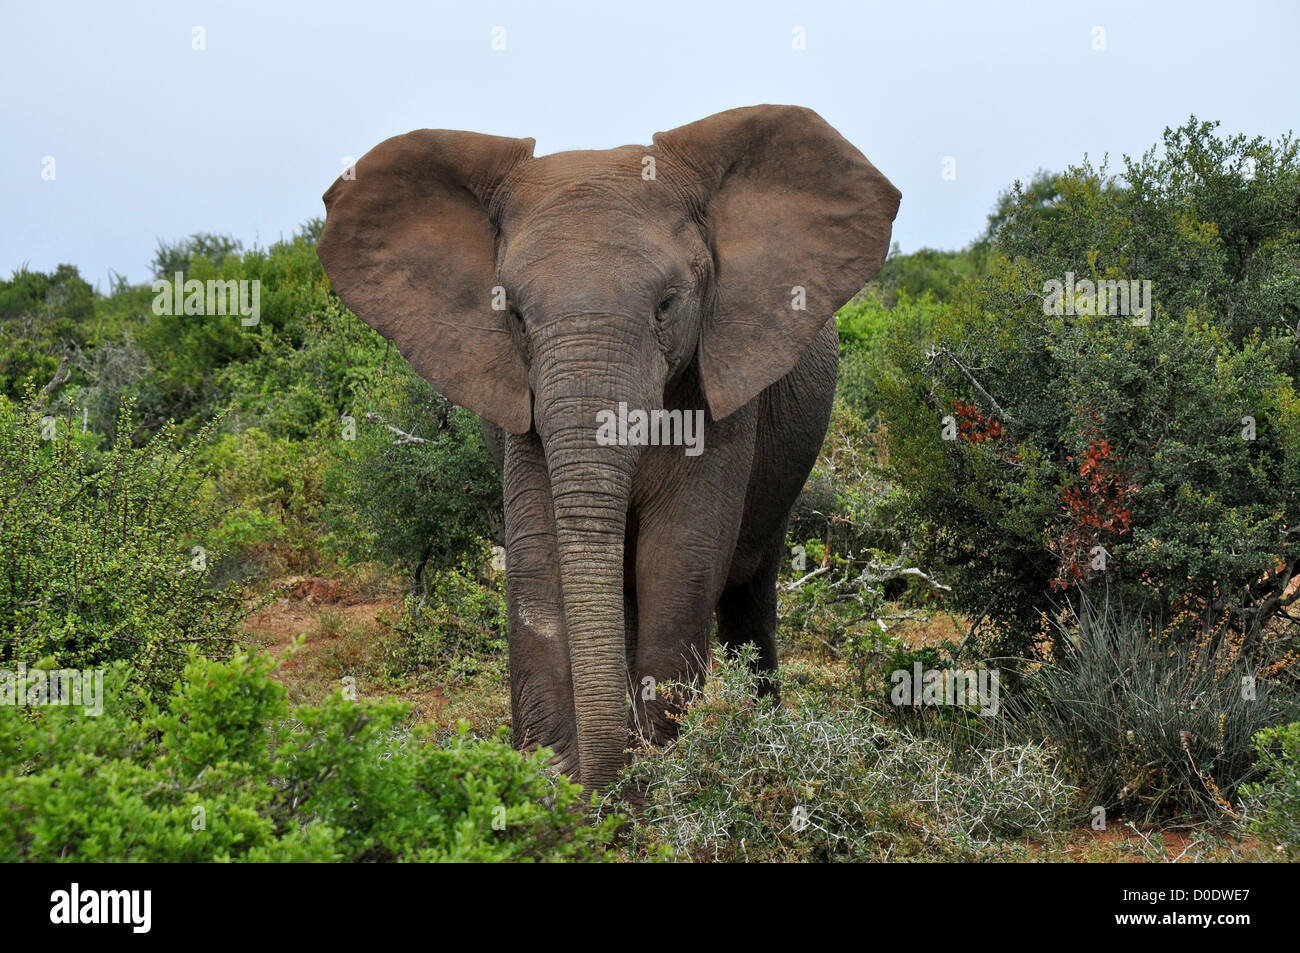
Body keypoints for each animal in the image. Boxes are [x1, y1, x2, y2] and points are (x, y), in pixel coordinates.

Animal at [318, 105, 899, 790]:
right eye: (513, 314)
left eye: (668, 304)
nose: (607, 781)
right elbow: (537, 561)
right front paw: (556, 789)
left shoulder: (721, 384)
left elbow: (680, 556)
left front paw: (656, 790)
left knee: (749, 591)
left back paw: (763, 733)